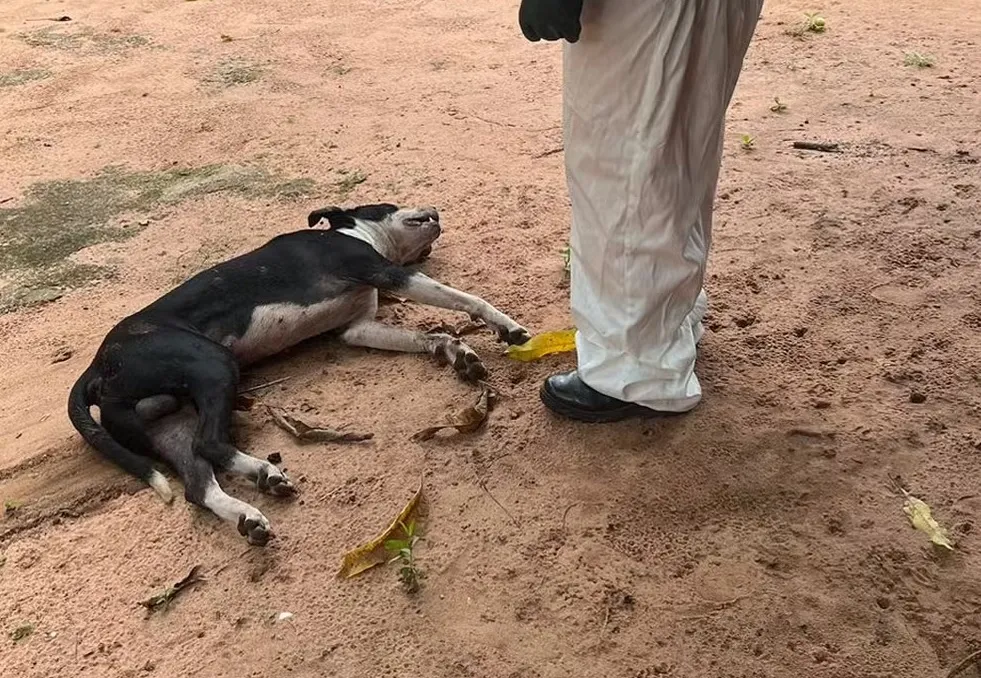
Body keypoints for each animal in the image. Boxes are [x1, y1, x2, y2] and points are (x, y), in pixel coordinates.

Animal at [67, 203, 528, 548]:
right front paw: (505, 326)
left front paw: (458, 352)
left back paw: (252, 509)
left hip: (168, 422)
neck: (355, 235)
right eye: (389, 204)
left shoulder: (358, 329)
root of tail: (96, 367)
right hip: (214, 364)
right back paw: (263, 474)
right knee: (209, 443)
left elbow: (429, 335)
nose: (436, 210)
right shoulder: (384, 272)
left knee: (198, 484)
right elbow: (469, 299)